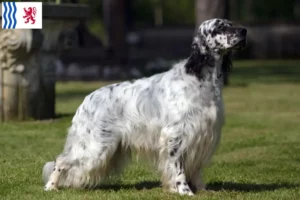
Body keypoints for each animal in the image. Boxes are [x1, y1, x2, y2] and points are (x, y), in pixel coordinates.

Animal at [43, 18, 247, 195]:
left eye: (230, 24)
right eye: (220, 27)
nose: (244, 31)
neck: (200, 78)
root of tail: (86, 100)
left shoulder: (201, 134)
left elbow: (196, 169)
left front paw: (202, 190)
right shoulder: (175, 135)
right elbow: (178, 168)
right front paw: (184, 191)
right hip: (95, 147)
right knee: (60, 161)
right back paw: (51, 187)